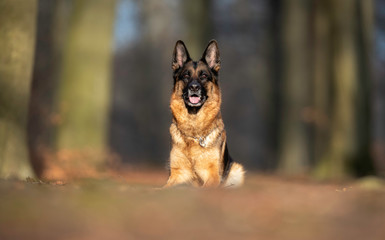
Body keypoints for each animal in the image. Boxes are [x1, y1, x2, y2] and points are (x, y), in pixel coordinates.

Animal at [164, 39, 243, 188]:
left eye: (204, 76)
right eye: (186, 75)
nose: (194, 87)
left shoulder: (212, 175)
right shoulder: (177, 174)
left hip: (237, 169)